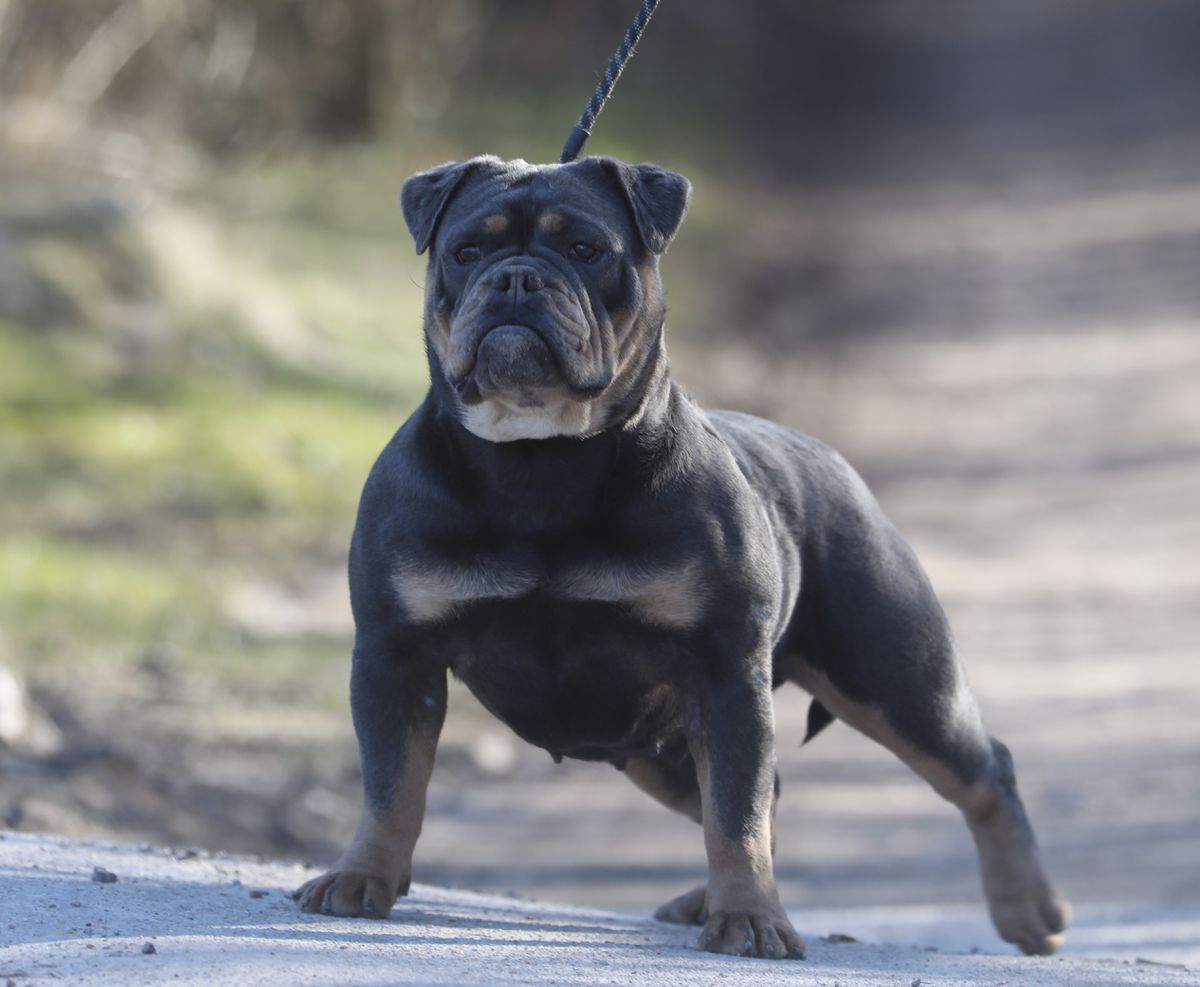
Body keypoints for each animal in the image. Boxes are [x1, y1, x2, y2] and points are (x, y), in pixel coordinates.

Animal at [295, 154, 1075, 960]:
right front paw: (362, 877)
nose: (515, 278)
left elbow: (735, 812)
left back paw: (1028, 909)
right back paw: (709, 899)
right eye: (466, 250)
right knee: (762, 792)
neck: (539, 460)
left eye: (586, 250)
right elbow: (391, 784)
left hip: (898, 680)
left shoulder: (725, 674)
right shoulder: (396, 657)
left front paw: (751, 918)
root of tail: (831, 461)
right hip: (660, 751)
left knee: (978, 772)